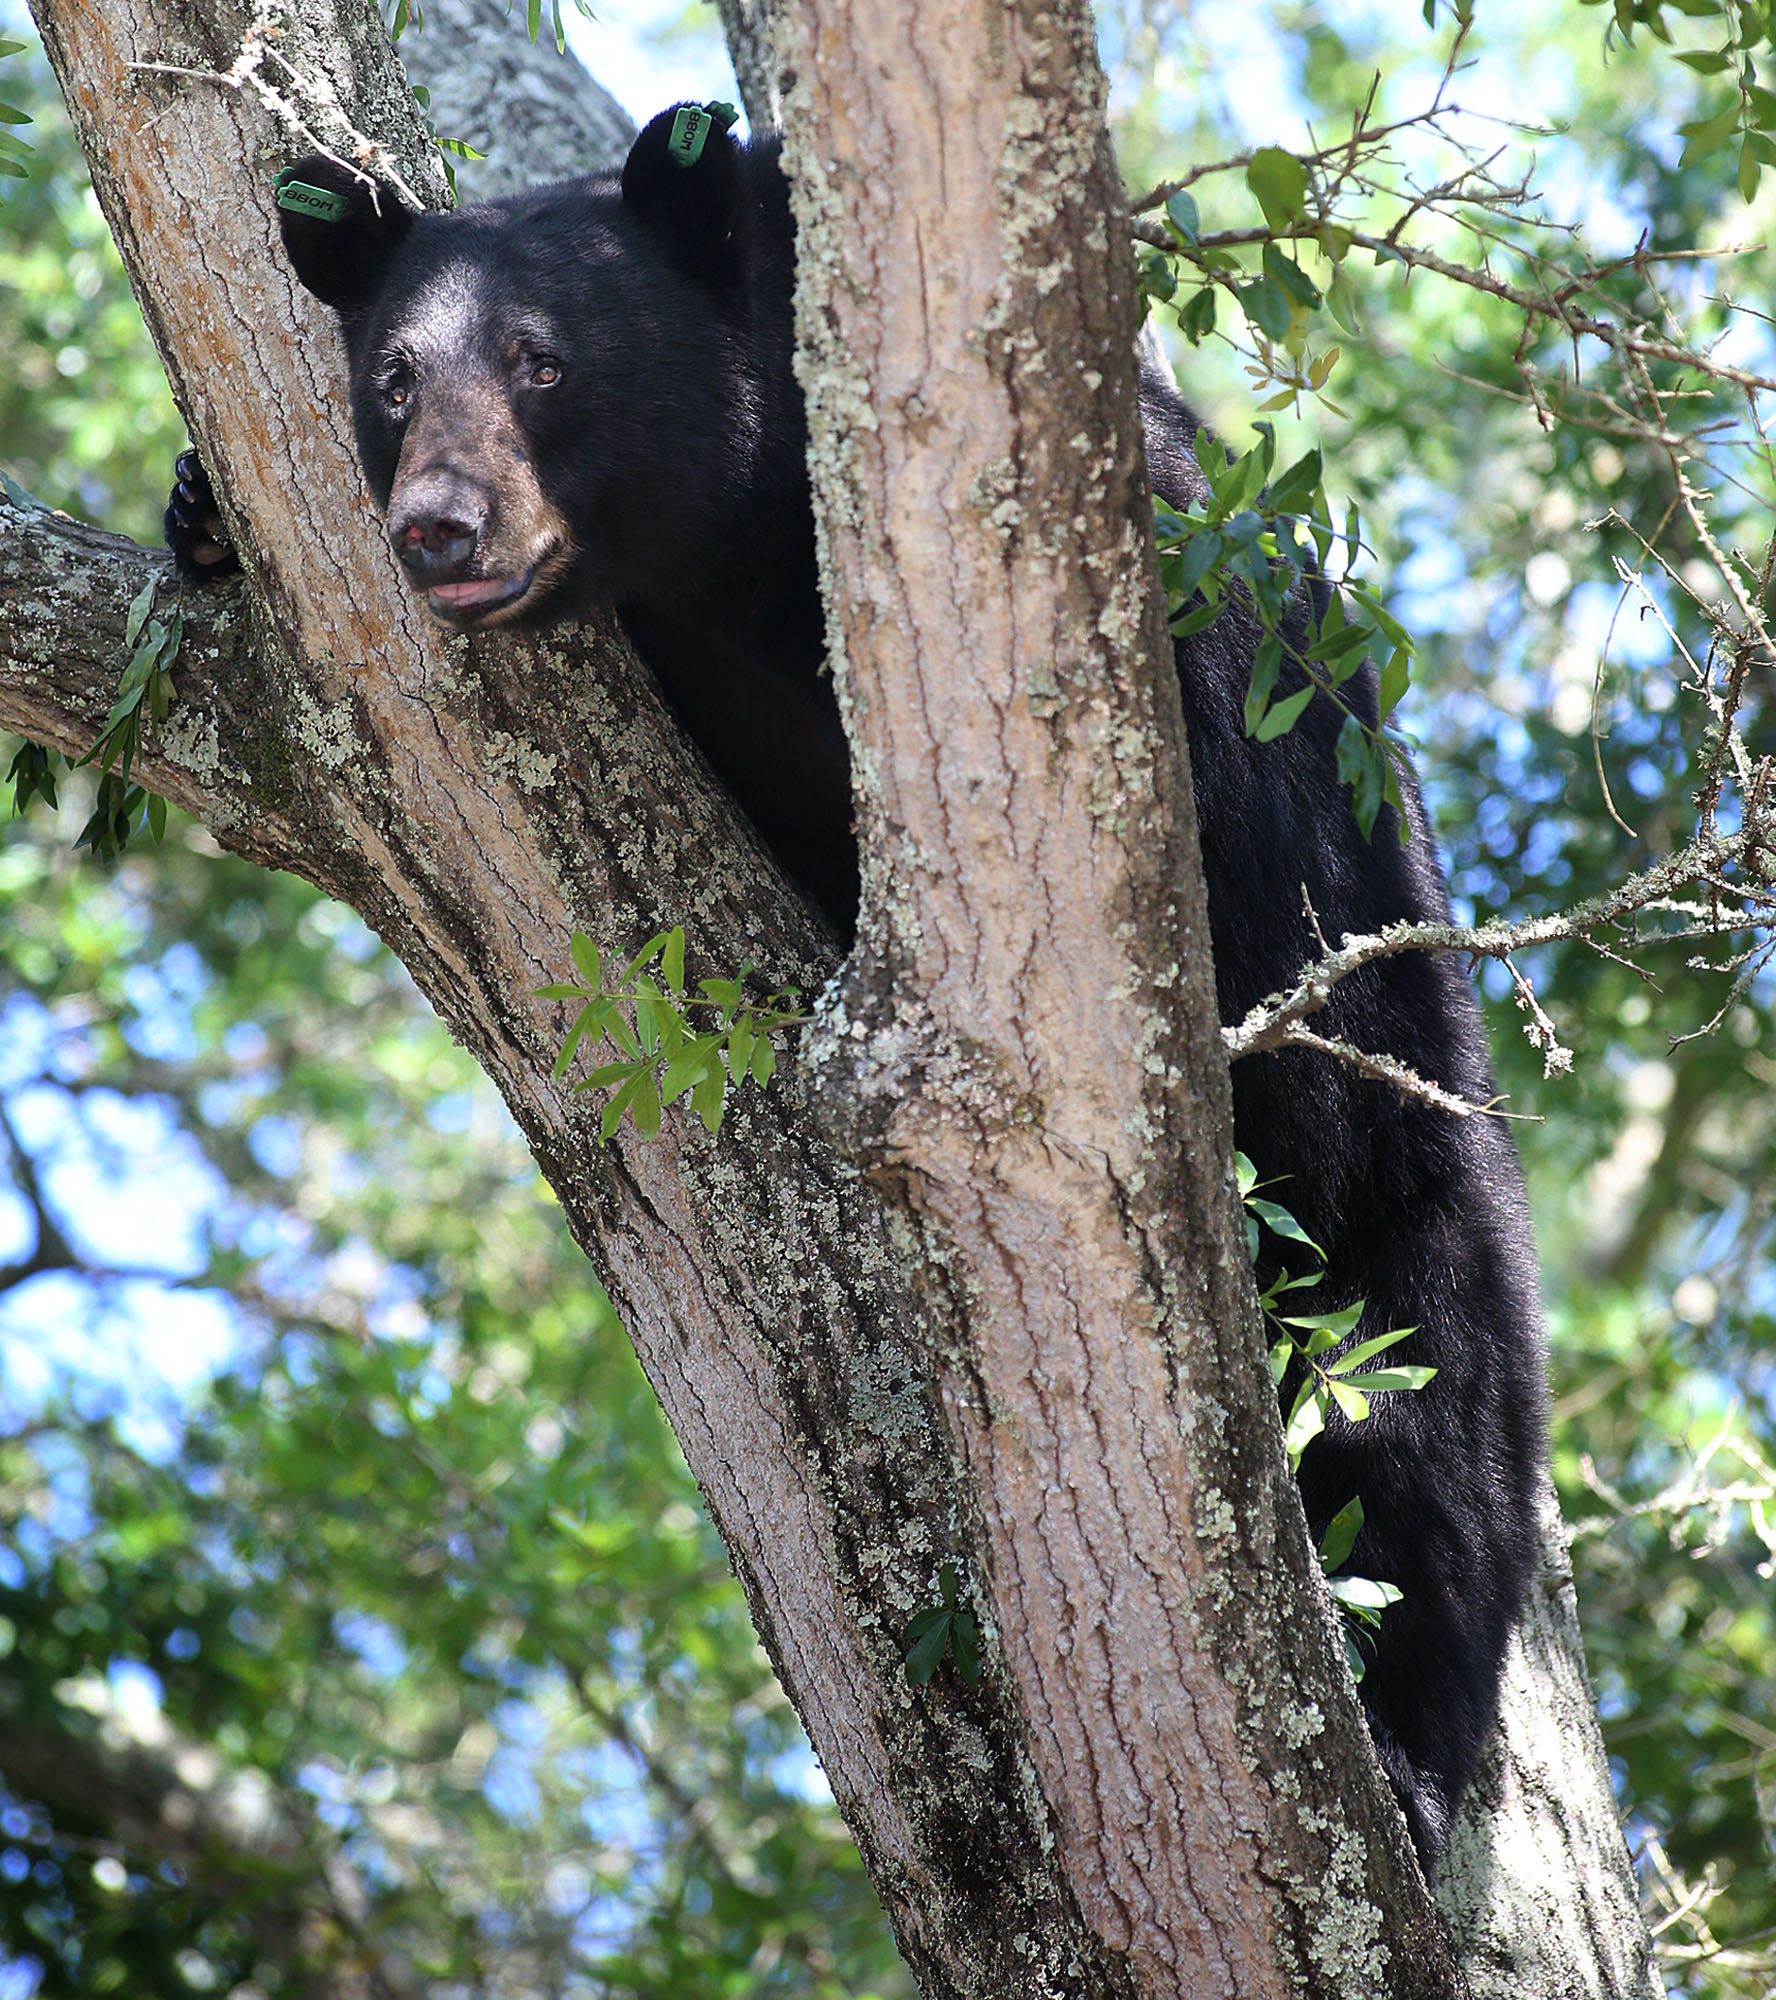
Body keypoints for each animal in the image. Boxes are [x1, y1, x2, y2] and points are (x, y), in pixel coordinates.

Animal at [168, 103, 1546, 1875]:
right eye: (396, 379)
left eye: (544, 361)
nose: (439, 530)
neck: (743, 554)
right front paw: (202, 508)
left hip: (1406, 1140)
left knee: (1421, 1402)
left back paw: (1404, 1749)